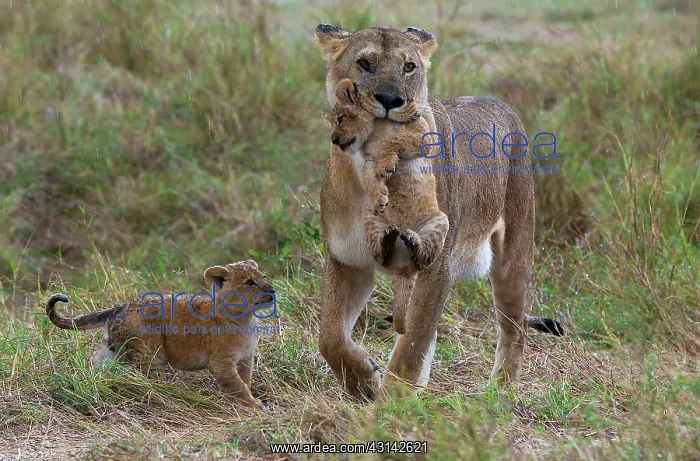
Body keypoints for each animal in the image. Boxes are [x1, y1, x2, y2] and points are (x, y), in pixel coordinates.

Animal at [45, 260, 275, 409]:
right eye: (250, 282)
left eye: (263, 277)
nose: (272, 291)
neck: (245, 319)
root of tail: (120, 308)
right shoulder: (221, 363)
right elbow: (237, 385)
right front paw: (253, 404)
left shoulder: (245, 358)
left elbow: (245, 380)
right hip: (150, 352)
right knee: (141, 376)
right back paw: (165, 393)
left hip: (109, 352)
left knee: (98, 368)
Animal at [314, 24, 564, 401]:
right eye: (364, 63)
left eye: (409, 67)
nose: (390, 100)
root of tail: (501, 104)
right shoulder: (348, 259)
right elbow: (330, 337)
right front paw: (364, 381)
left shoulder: (435, 263)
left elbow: (412, 344)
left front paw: (392, 402)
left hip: (514, 251)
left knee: (515, 325)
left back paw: (499, 392)